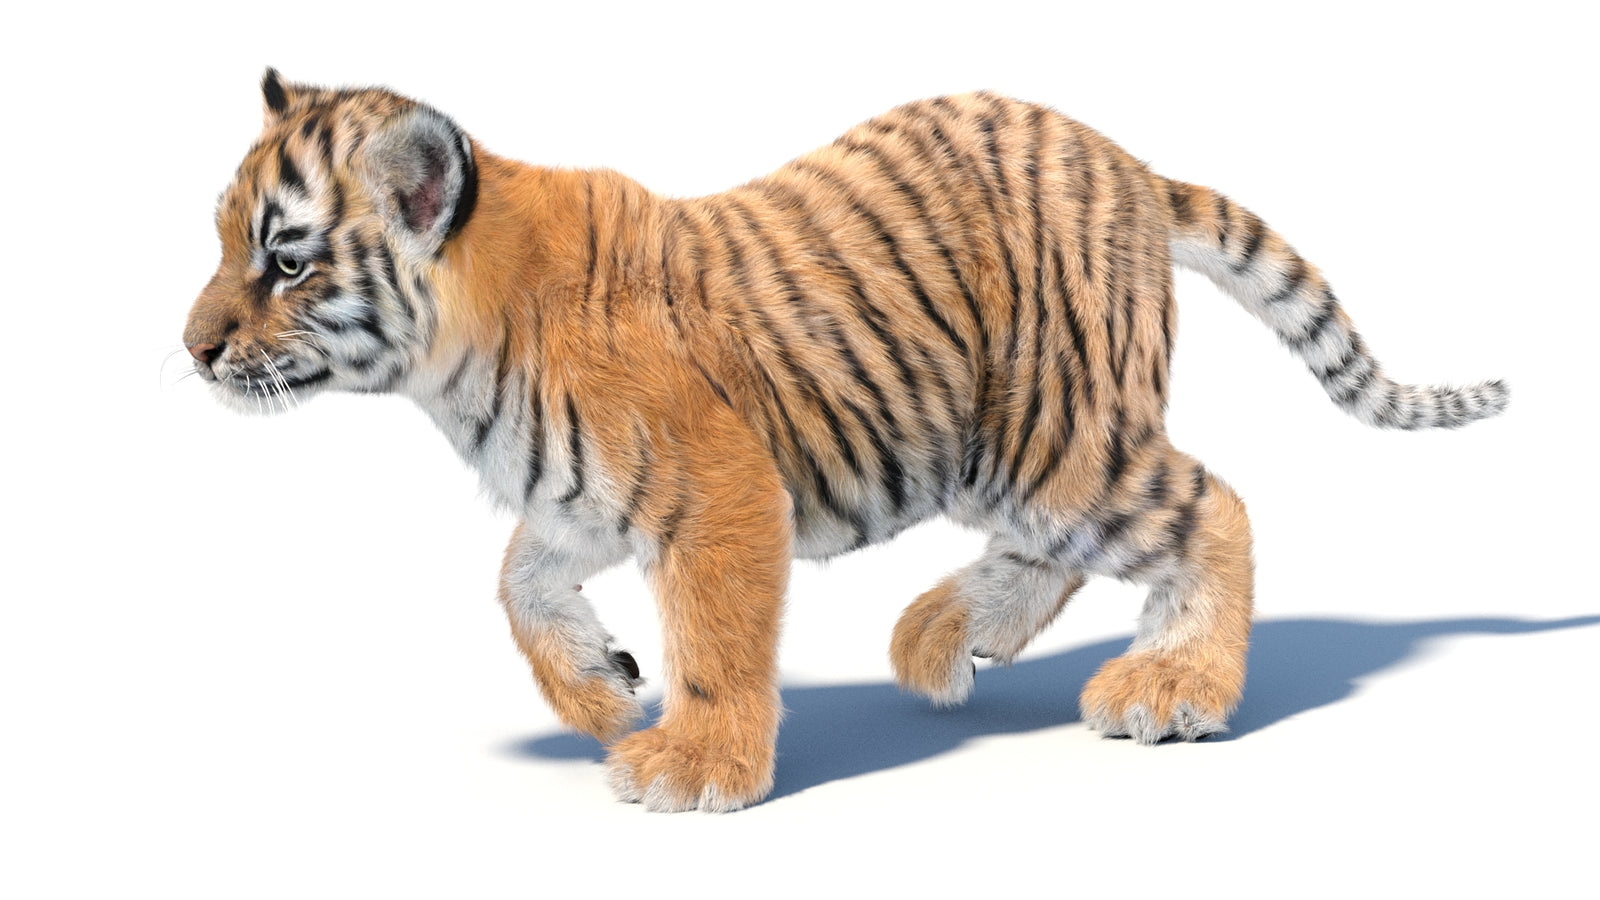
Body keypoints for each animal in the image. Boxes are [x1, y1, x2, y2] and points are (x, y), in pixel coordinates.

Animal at [183, 69, 1508, 812]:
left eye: (285, 261)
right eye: (222, 239)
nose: (191, 348)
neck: (454, 364)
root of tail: (1125, 164)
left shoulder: (717, 489)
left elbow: (715, 640)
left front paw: (692, 767)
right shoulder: (580, 497)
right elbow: (516, 585)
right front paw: (602, 693)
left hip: (1053, 439)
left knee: (1212, 506)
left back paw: (1174, 688)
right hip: (1004, 450)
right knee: (1073, 549)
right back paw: (942, 637)